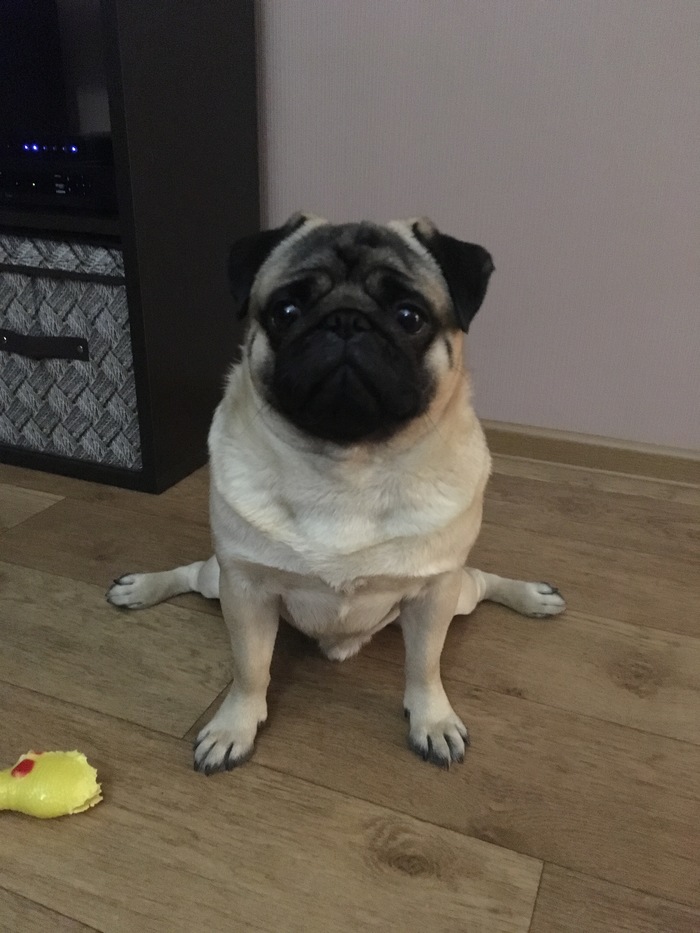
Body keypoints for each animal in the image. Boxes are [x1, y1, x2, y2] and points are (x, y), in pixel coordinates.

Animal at [107, 212, 565, 773]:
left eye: (409, 316)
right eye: (285, 311)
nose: (346, 320)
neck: (348, 467)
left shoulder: (434, 594)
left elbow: (425, 666)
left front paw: (432, 720)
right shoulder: (246, 590)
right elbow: (250, 669)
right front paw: (234, 726)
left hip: (457, 592)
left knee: (481, 581)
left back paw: (532, 597)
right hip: (221, 579)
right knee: (194, 574)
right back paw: (140, 589)